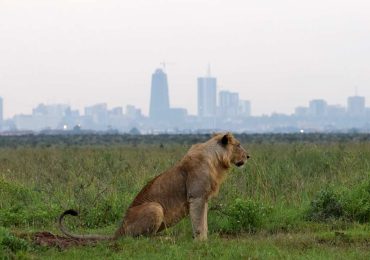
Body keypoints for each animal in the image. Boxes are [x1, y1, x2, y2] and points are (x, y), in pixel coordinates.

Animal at [59, 133, 250, 241]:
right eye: (239, 145)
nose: (248, 156)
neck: (216, 160)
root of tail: (119, 228)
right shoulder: (196, 197)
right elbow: (199, 223)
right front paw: (201, 242)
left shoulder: (203, 199)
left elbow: (204, 222)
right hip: (155, 207)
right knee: (143, 239)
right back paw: (164, 239)